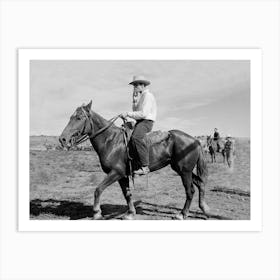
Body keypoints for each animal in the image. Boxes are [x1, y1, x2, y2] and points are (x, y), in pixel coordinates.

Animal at [60, 101, 211, 221]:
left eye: (79, 118)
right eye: (70, 117)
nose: (63, 139)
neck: (111, 141)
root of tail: (195, 140)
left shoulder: (116, 173)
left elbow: (98, 189)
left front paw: (97, 213)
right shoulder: (122, 176)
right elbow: (127, 194)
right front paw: (130, 213)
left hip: (184, 171)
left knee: (190, 191)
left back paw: (182, 214)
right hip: (182, 169)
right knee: (200, 183)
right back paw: (204, 209)